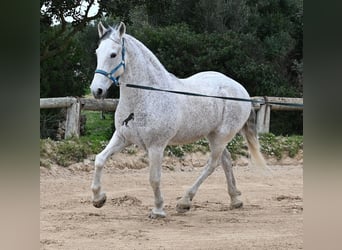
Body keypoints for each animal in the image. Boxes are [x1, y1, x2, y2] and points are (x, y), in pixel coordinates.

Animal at [89, 21, 268, 218]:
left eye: (113, 54)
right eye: (97, 52)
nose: (96, 90)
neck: (146, 96)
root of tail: (241, 90)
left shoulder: (156, 146)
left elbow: (154, 178)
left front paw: (158, 210)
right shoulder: (122, 138)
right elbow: (99, 160)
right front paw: (98, 199)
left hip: (221, 137)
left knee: (212, 165)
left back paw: (185, 201)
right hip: (213, 136)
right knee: (226, 161)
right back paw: (234, 199)